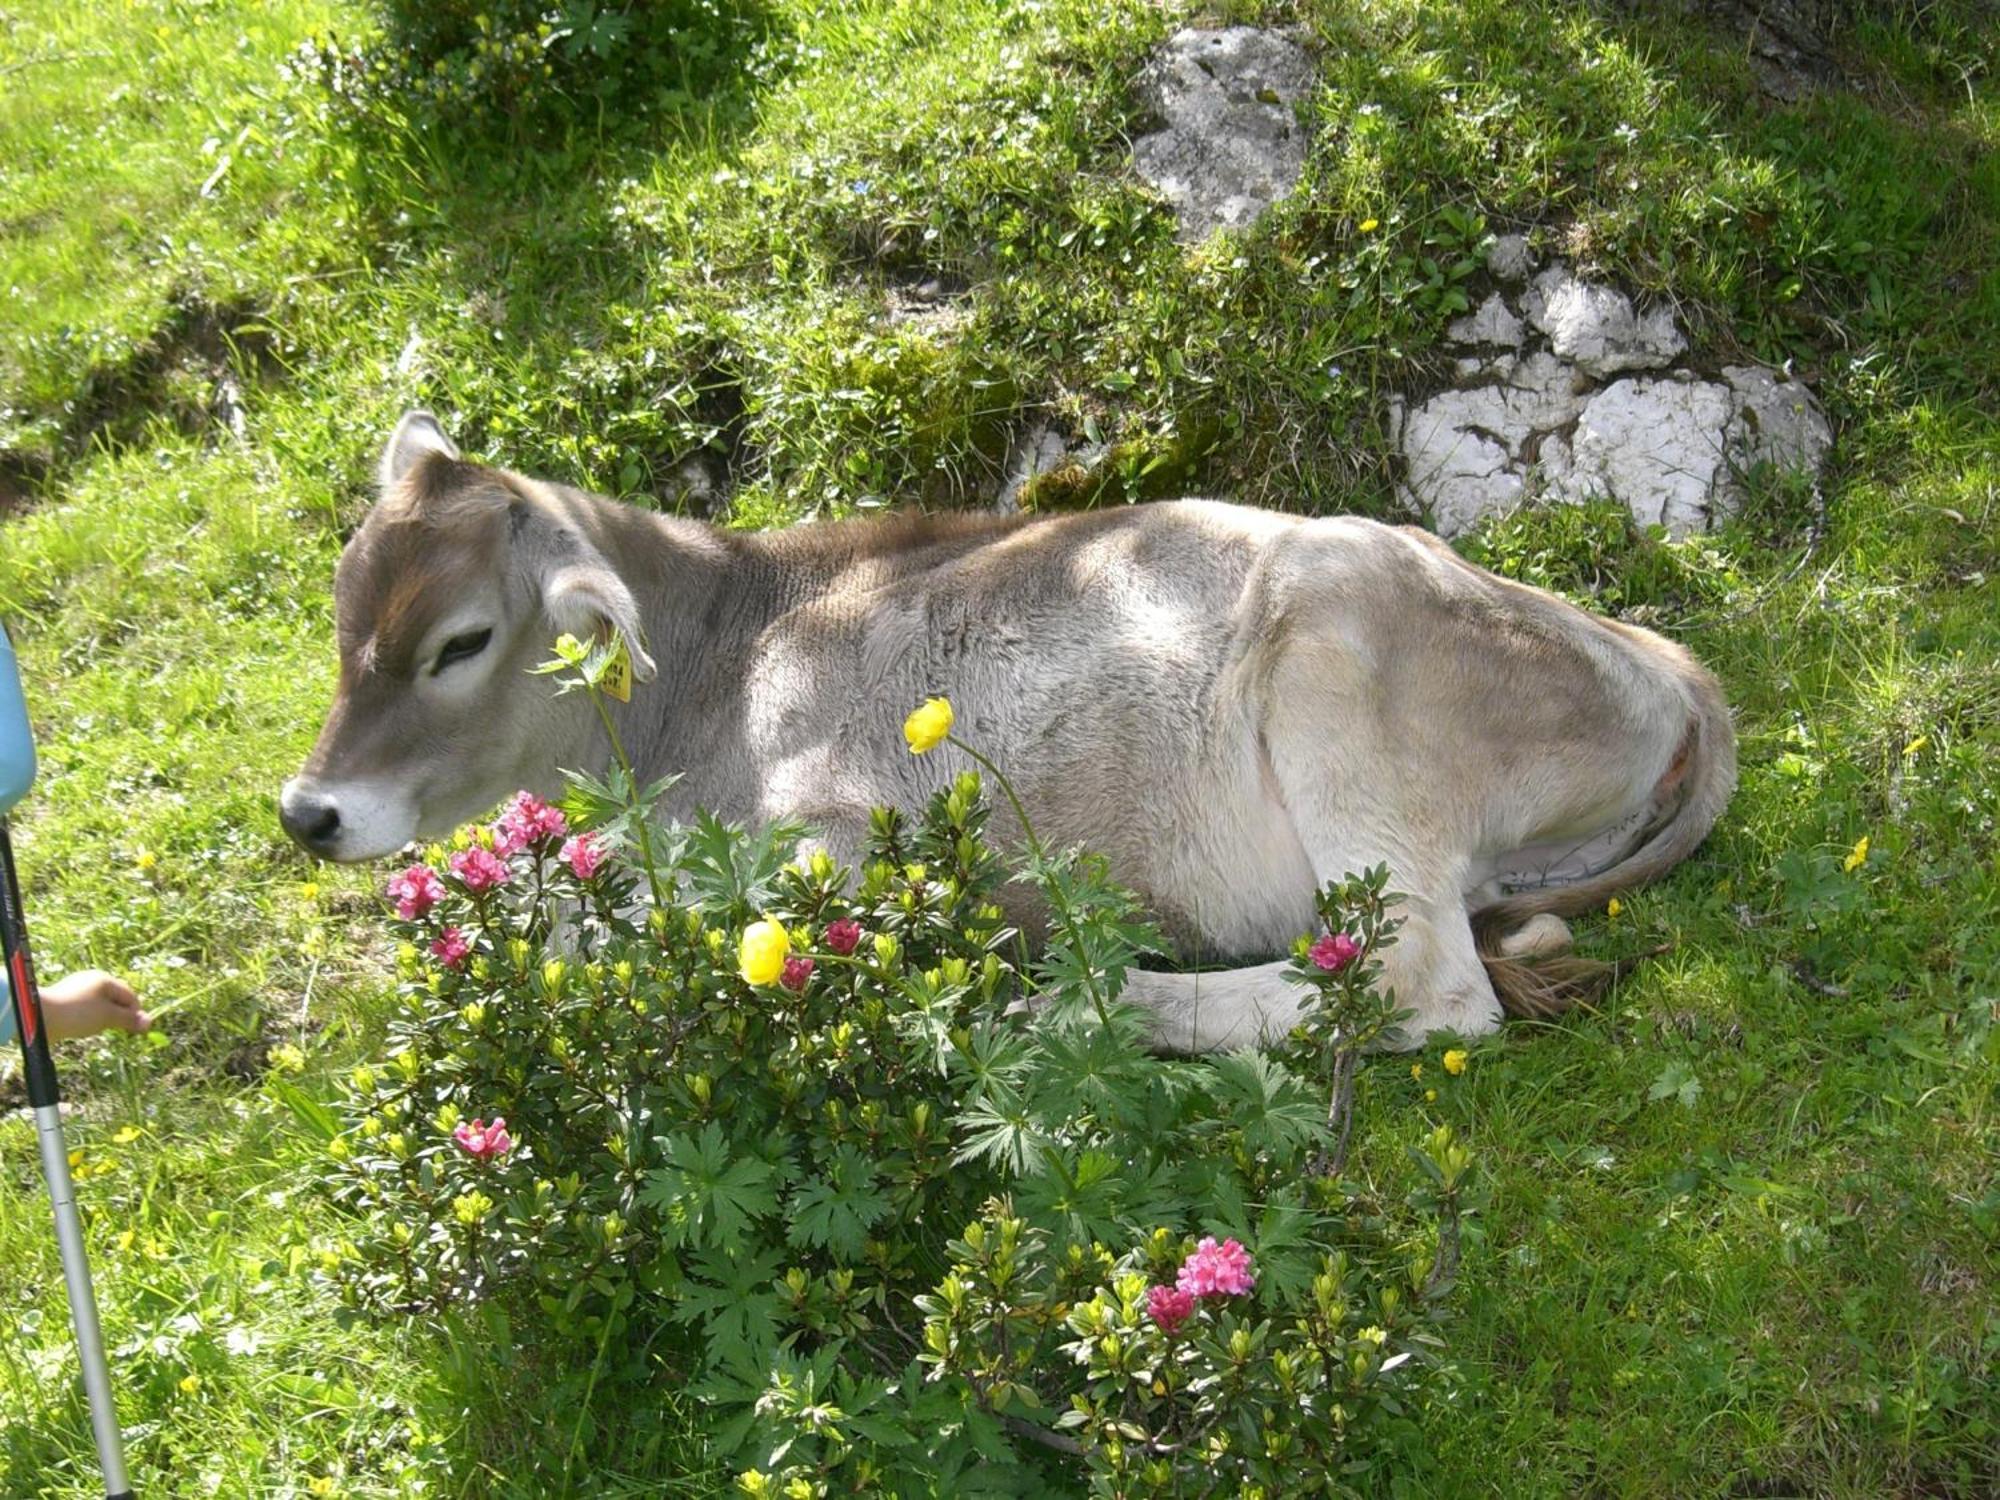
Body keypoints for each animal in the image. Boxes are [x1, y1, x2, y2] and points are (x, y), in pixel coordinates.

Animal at [282, 412, 1736, 1056]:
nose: (309, 812)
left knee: (1423, 980)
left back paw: (1083, 999)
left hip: (1341, 696)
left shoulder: (841, 828)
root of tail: (1670, 664)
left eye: (461, 641)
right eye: (345, 599)